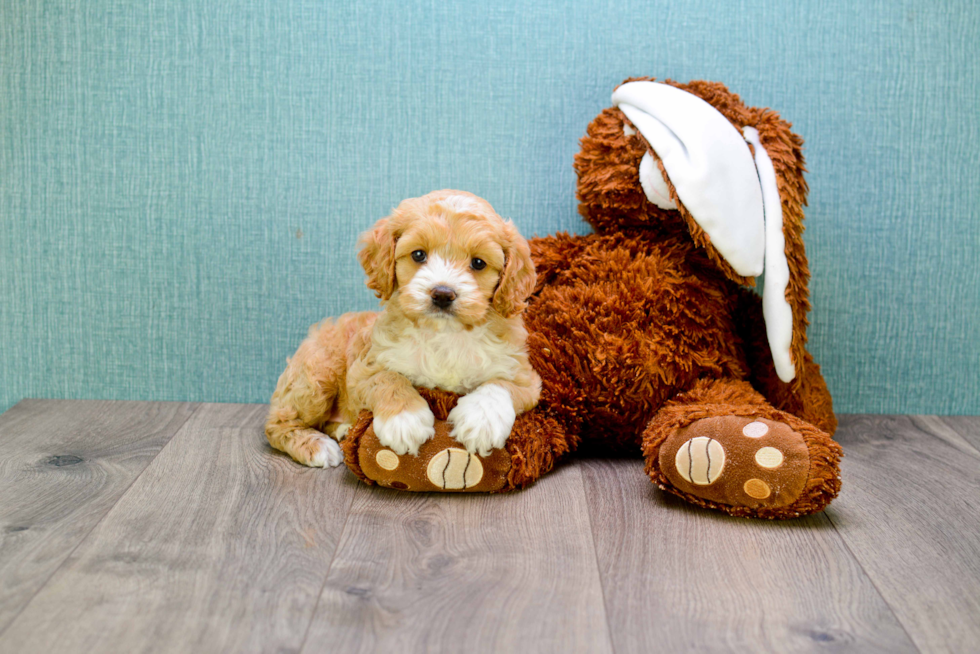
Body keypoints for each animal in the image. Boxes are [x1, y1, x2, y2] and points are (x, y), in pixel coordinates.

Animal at [264, 192, 540, 468]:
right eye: (418, 255)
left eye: (478, 263)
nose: (442, 294)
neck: (444, 333)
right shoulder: (363, 369)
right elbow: (388, 378)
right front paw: (405, 421)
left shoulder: (525, 377)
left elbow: (499, 385)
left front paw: (481, 421)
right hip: (318, 374)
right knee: (277, 424)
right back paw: (317, 445)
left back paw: (343, 430)